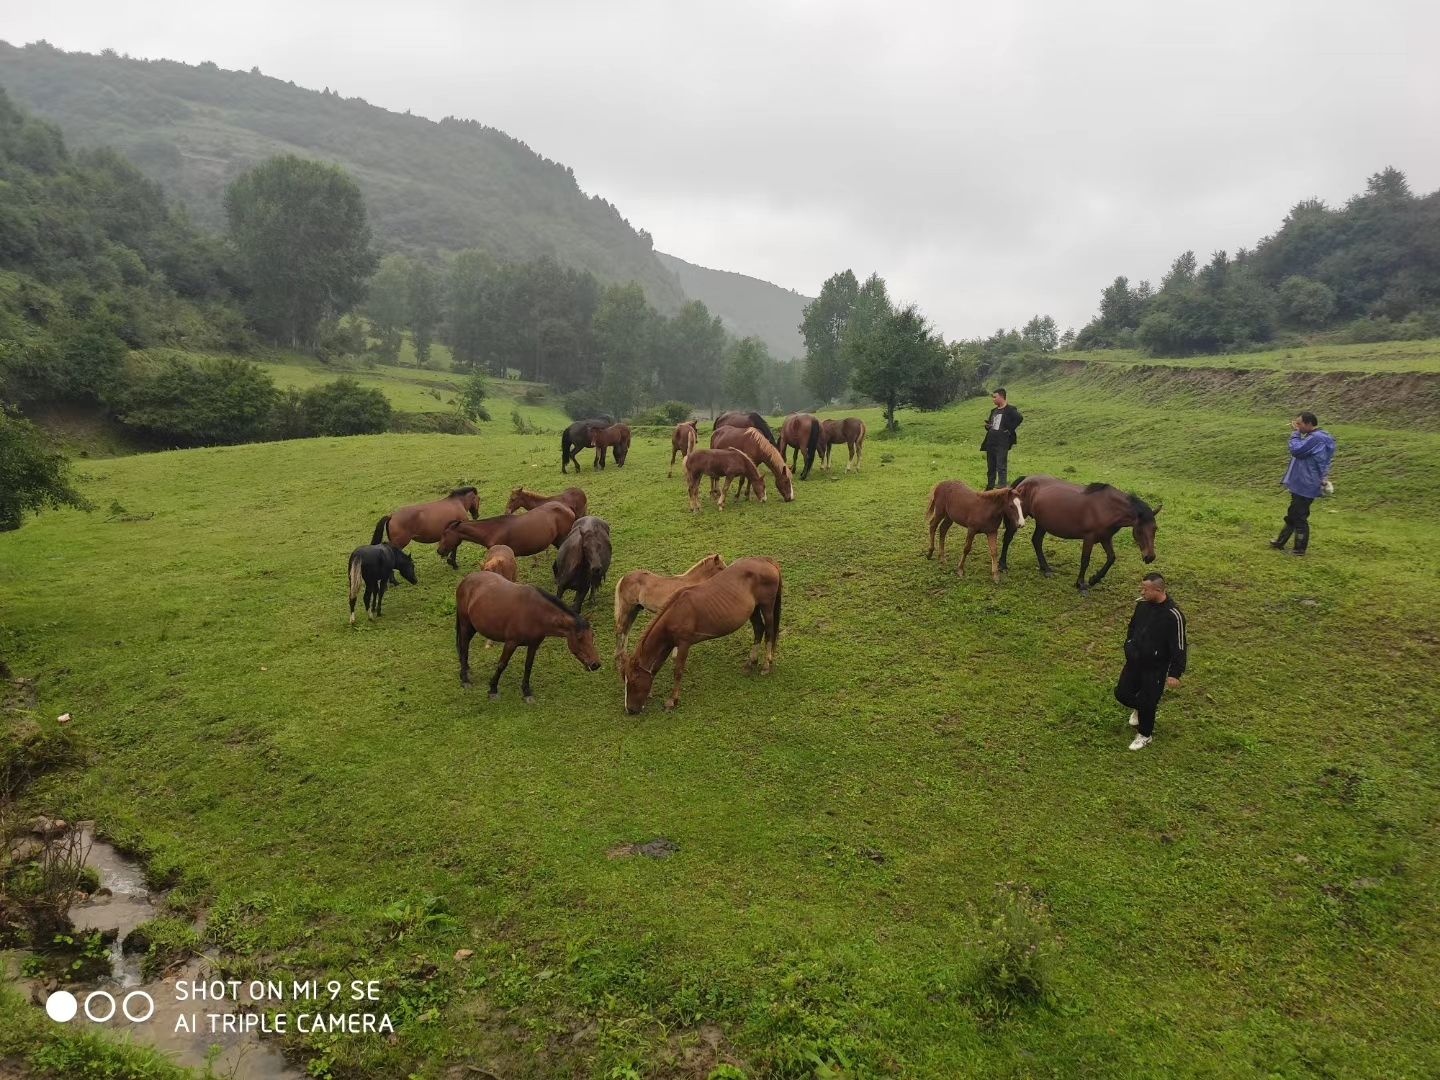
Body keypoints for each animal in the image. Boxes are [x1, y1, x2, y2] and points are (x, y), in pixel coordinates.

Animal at [455, 576, 601, 702]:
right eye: (580, 638)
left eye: (592, 636)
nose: (596, 664)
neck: (536, 613)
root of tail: (467, 579)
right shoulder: (511, 643)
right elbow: (502, 664)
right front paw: (493, 689)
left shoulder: (533, 645)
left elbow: (528, 666)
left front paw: (526, 692)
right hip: (465, 624)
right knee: (464, 646)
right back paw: (465, 679)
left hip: (473, 626)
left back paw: (465, 669)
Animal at [616, 558, 777, 720]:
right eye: (626, 680)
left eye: (633, 682)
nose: (630, 710)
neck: (676, 611)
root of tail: (765, 561)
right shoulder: (669, 644)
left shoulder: (683, 644)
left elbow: (677, 671)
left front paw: (672, 701)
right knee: (759, 630)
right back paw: (751, 663)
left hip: (766, 607)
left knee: (769, 632)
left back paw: (766, 666)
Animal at [1008, 472, 1163, 593]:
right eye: (1140, 530)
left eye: (1155, 529)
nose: (1150, 557)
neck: (1107, 508)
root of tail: (1025, 480)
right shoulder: (1089, 538)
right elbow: (1085, 560)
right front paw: (1081, 584)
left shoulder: (1105, 538)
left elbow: (1111, 558)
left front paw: (1094, 579)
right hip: (1021, 516)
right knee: (1009, 537)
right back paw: (1004, 566)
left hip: (1042, 523)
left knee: (1036, 541)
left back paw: (1045, 569)